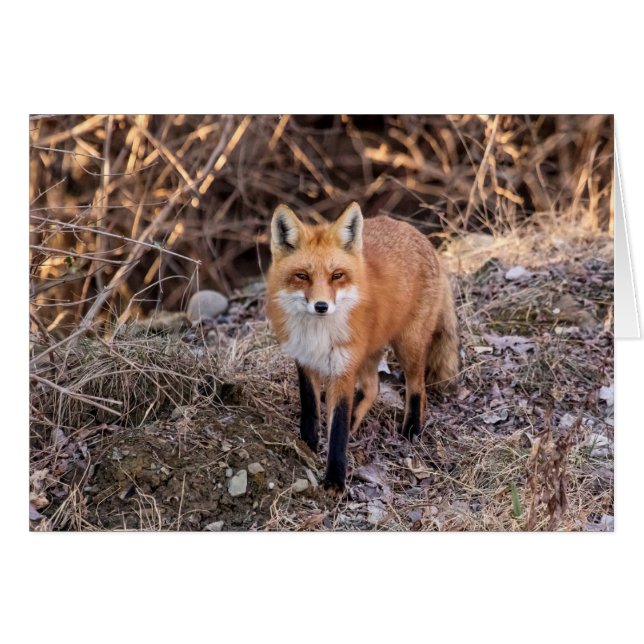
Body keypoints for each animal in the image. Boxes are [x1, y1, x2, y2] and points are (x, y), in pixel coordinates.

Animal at [266, 202, 459, 494]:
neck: (318, 334)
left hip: (408, 345)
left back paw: (412, 430)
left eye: (337, 276)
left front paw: (335, 480)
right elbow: (310, 407)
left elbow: (338, 429)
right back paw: (357, 420)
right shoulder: (305, 359)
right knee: (373, 387)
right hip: (368, 351)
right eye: (302, 276)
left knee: (418, 387)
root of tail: (419, 235)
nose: (321, 306)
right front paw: (307, 443)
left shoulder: (343, 368)